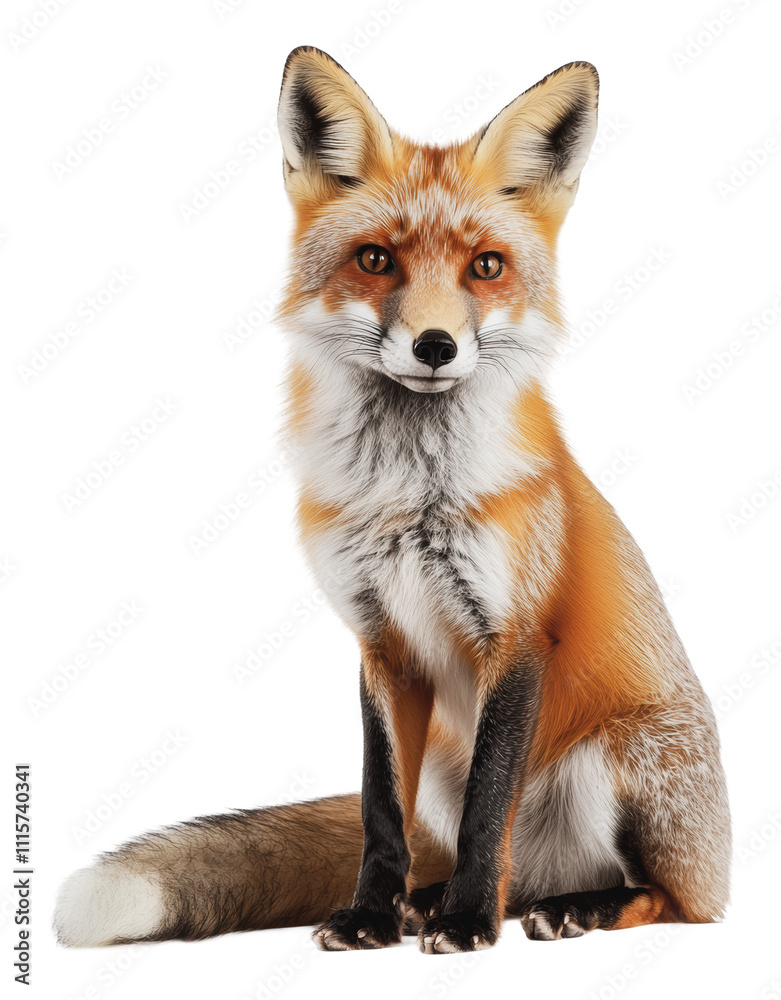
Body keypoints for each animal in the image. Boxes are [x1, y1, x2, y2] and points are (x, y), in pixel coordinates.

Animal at [54, 47, 730, 955]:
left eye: (485, 266)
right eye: (376, 259)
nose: (435, 346)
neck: (408, 497)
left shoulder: (515, 639)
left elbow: (488, 810)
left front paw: (469, 921)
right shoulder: (381, 643)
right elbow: (380, 809)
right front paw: (373, 914)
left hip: (617, 764)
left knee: (662, 897)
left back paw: (566, 907)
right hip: (450, 761)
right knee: (493, 862)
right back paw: (432, 900)